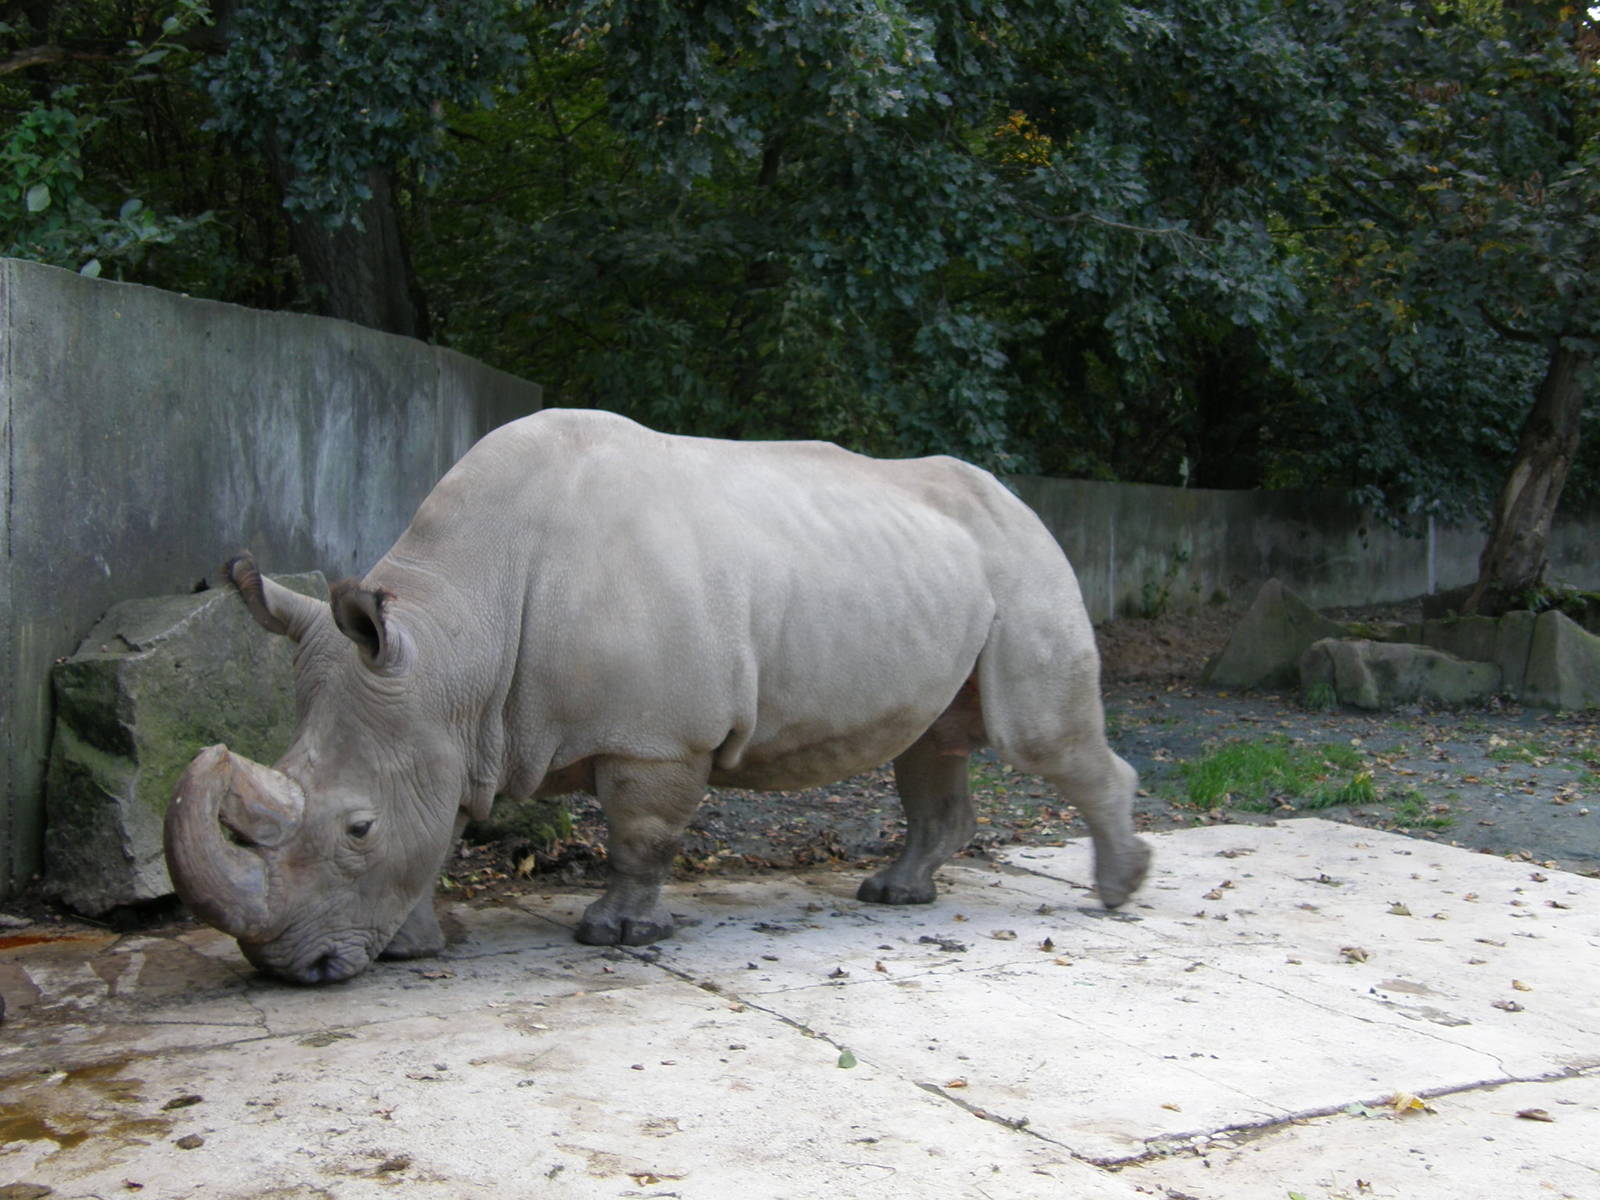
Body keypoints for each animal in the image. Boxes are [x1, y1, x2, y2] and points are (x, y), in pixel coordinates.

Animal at [165, 409, 1150, 983]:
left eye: (357, 828)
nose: (288, 969)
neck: (453, 644)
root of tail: (1023, 504)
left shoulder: (655, 736)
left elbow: (639, 835)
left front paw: (615, 938)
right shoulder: (440, 726)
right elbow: (438, 830)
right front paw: (414, 946)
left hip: (1026, 564)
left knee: (1036, 738)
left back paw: (1116, 892)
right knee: (932, 743)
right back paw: (894, 895)